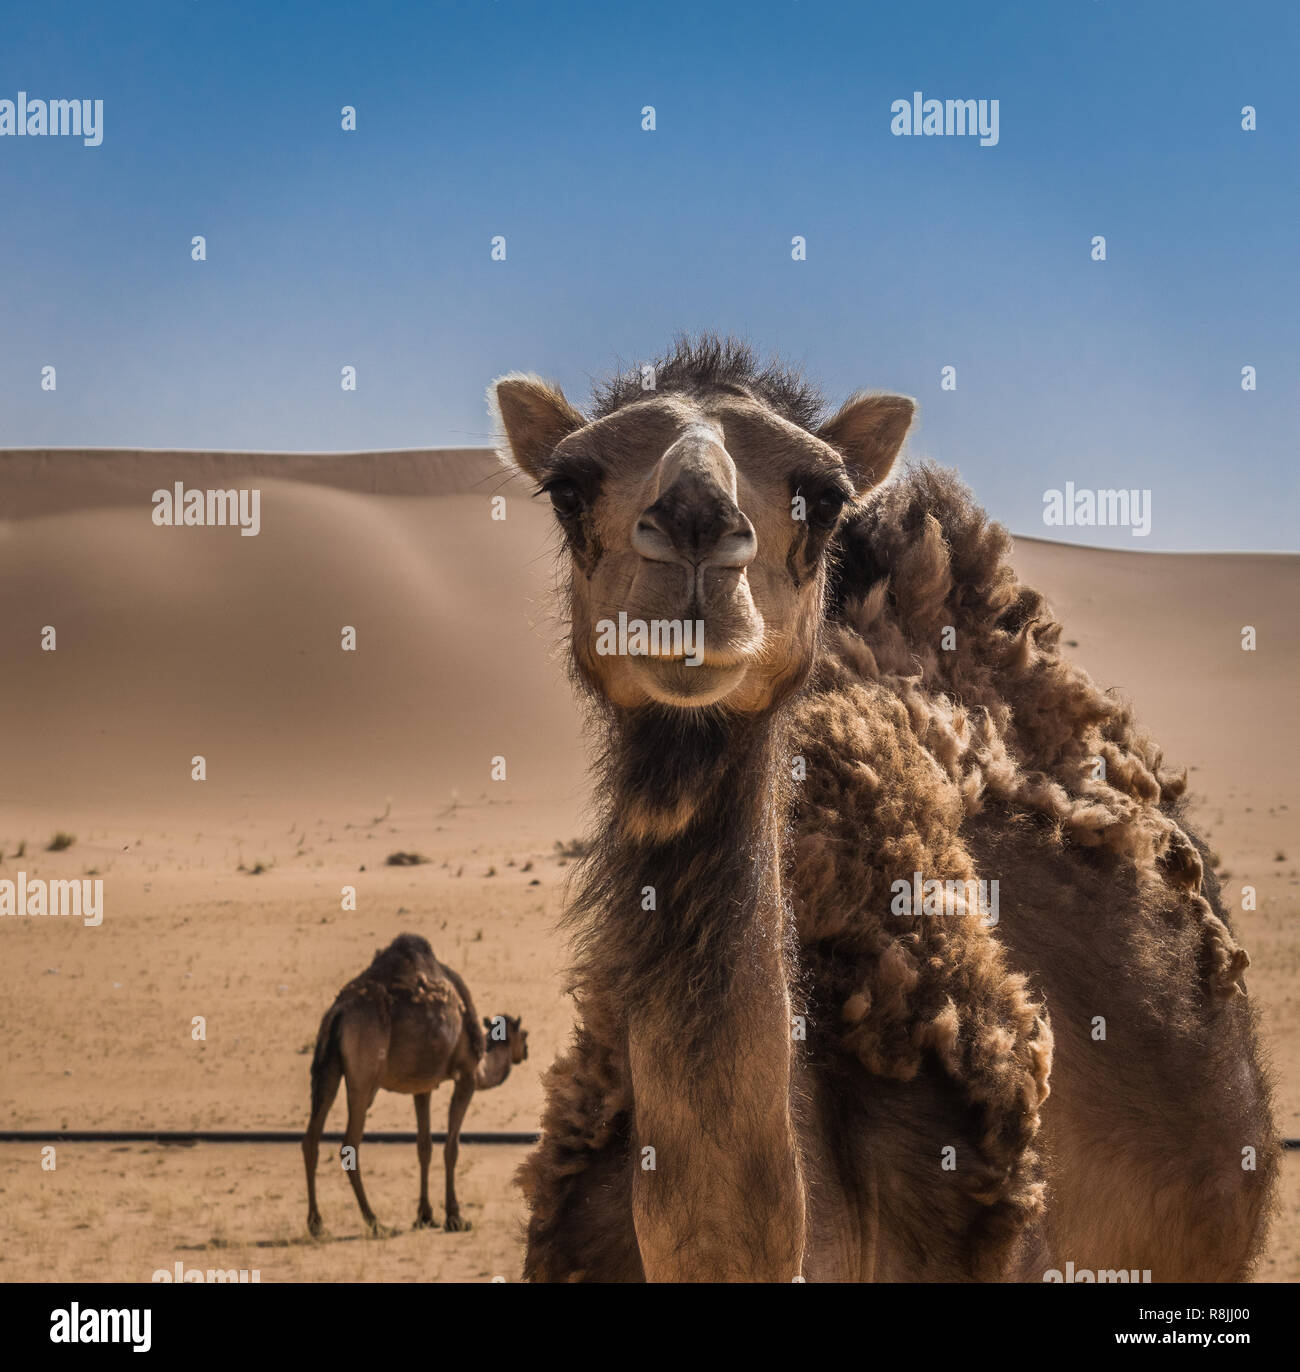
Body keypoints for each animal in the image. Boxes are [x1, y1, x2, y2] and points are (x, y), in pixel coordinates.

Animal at [301, 933, 528, 1236]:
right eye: (524, 1035)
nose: (526, 1052)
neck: (482, 1062)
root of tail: (338, 1012)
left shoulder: (422, 1087)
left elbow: (424, 1147)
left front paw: (425, 1215)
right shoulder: (466, 1075)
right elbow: (451, 1148)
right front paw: (455, 1218)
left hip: (327, 1067)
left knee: (311, 1138)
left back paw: (317, 1224)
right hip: (364, 1075)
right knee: (349, 1144)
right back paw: (374, 1221)